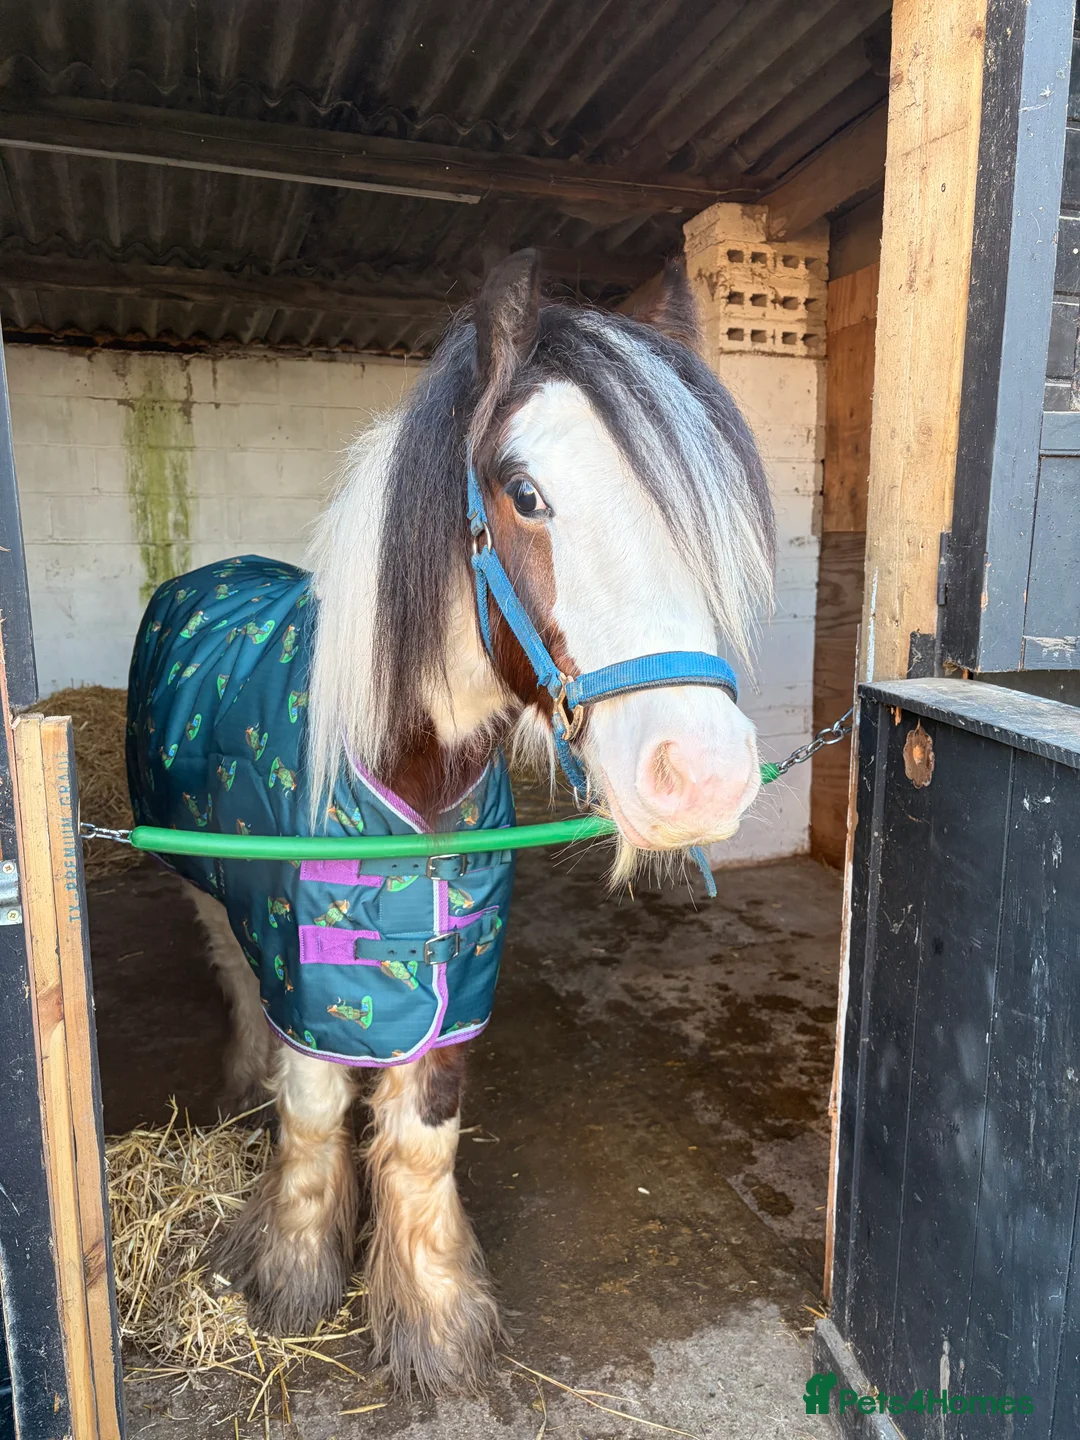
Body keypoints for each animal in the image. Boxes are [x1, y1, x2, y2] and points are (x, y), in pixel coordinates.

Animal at [125, 248, 775, 1396]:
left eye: (696, 515)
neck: (412, 784)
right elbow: (311, 1112)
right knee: (230, 963)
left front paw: (433, 1323)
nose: (702, 774)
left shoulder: (454, 979)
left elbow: (423, 1139)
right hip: (203, 880)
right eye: (526, 494)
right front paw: (291, 1278)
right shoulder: (313, 973)